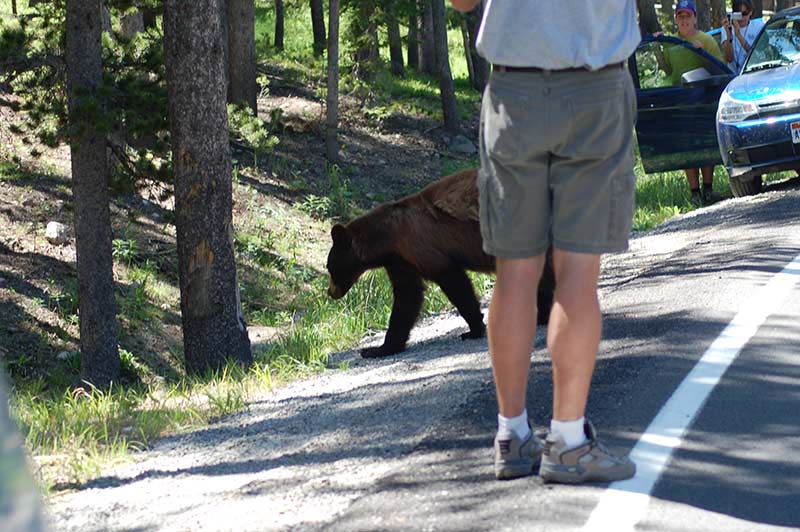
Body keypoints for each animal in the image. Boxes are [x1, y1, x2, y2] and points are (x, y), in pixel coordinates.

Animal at [322, 167, 552, 358]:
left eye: (330, 267)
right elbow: (407, 298)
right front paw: (379, 348)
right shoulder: (402, 262)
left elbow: (455, 284)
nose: (330, 293)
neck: (387, 239)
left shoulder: (424, 249)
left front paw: (474, 329)